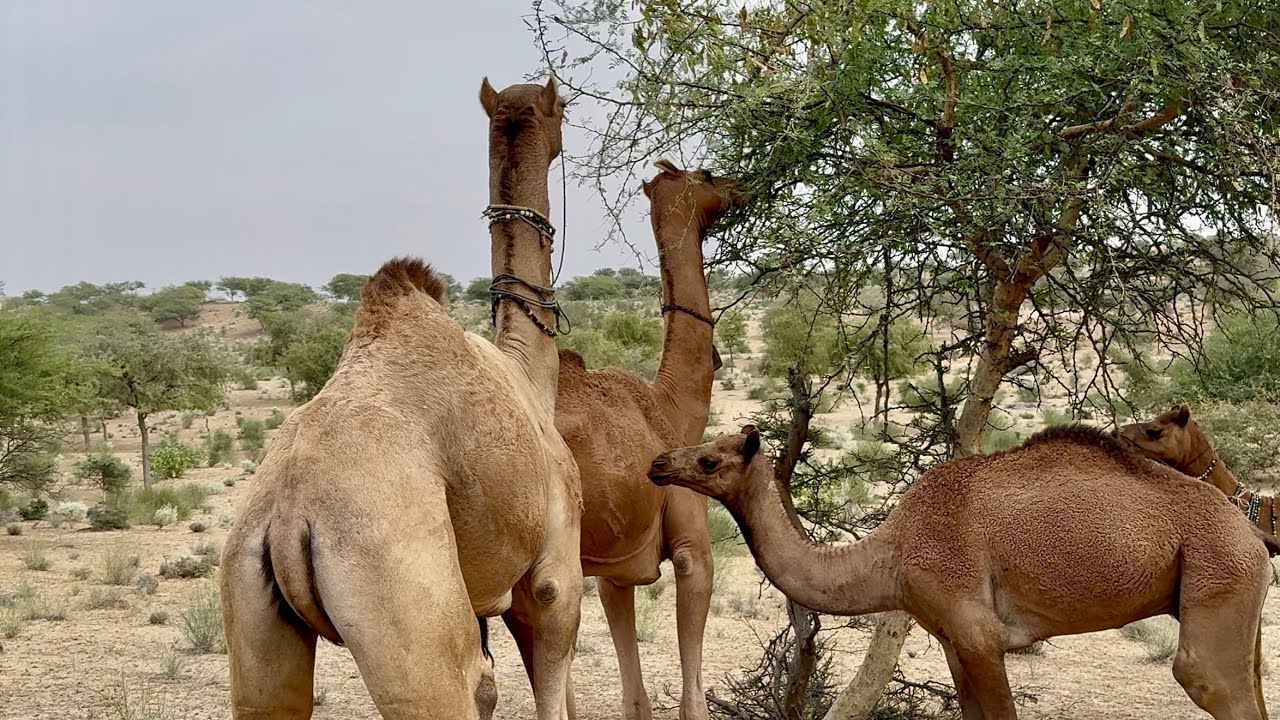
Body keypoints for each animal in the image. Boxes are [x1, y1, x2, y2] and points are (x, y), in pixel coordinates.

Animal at [220, 77, 582, 720]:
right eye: (560, 108)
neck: (526, 371)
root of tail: (287, 520)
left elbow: (491, 689)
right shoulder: (554, 568)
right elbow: (551, 685)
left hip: (250, 608)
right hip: (407, 610)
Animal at [556, 160, 739, 720]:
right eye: (707, 175)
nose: (740, 185)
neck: (672, 408)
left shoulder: (613, 571)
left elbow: (634, 696)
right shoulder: (692, 547)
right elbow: (691, 700)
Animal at [648, 424, 1273, 720]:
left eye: (709, 459)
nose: (657, 464)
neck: (891, 554)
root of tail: (1252, 533)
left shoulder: (978, 632)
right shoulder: (952, 642)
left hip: (1217, 572)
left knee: (1208, 679)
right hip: (1236, 594)